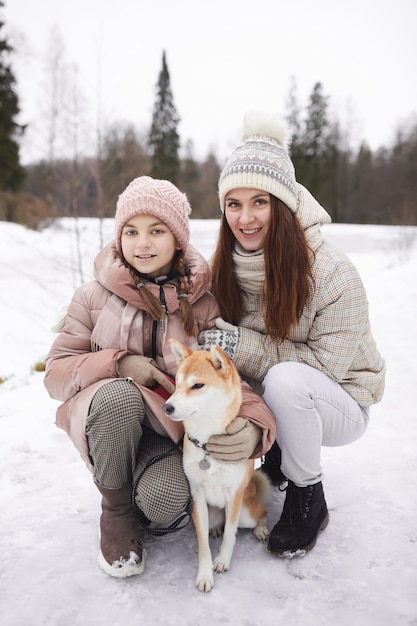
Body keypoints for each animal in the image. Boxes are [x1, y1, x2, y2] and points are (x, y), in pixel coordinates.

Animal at [162, 338, 270, 592]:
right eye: (177, 383)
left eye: (198, 385)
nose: (167, 407)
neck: (207, 445)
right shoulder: (197, 497)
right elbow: (202, 544)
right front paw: (205, 574)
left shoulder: (234, 496)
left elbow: (231, 534)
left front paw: (221, 561)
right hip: (211, 512)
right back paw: (215, 528)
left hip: (246, 512)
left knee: (263, 512)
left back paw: (261, 528)